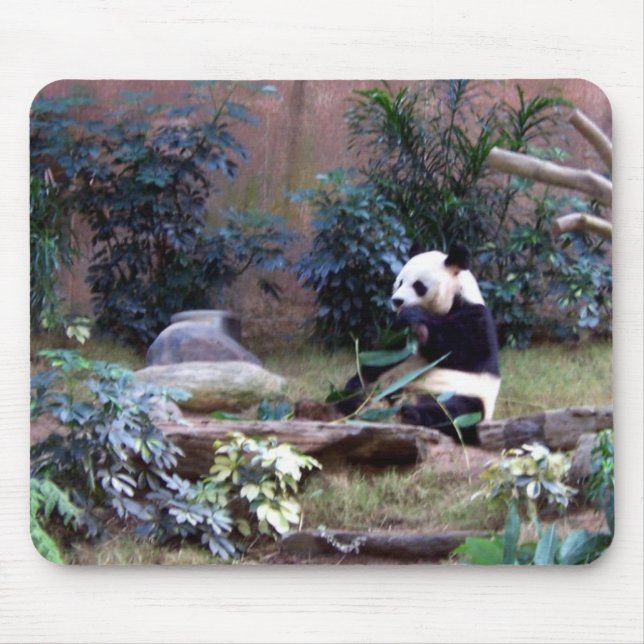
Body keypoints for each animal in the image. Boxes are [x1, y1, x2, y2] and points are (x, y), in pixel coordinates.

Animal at [338, 243, 501, 445]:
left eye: (418, 285)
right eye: (399, 282)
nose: (397, 301)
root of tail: (406, 397)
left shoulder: (477, 317)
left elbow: (468, 350)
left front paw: (417, 318)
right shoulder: (396, 335)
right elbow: (383, 354)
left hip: (463, 394)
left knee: (456, 412)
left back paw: (412, 414)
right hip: (385, 384)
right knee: (357, 388)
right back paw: (359, 401)